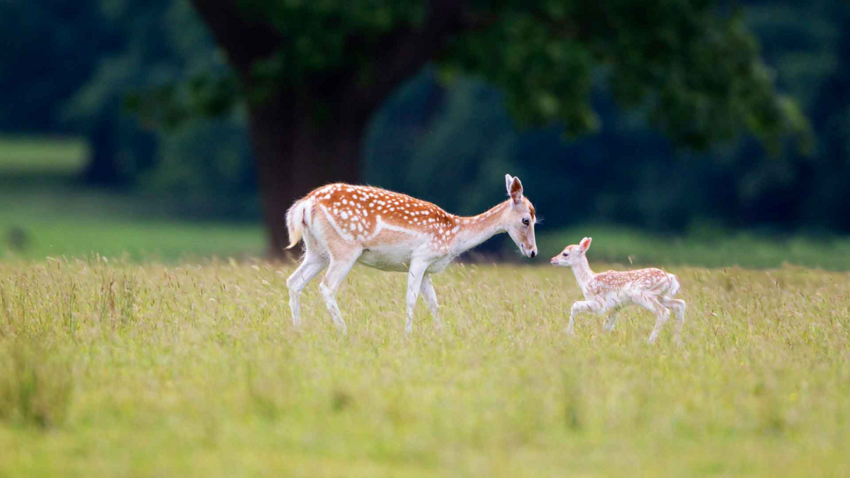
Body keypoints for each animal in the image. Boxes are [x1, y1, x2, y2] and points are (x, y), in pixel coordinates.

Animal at [284, 174, 536, 334]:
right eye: (526, 220)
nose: (532, 252)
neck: (454, 235)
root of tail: (304, 205)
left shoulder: (428, 269)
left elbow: (434, 303)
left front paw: (441, 334)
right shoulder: (420, 257)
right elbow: (411, 298)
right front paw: (407, 335)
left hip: (316, 250)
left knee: (294, 281)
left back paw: (298, 330)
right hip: (344, 248)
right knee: (327, 287)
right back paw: (344, 332)